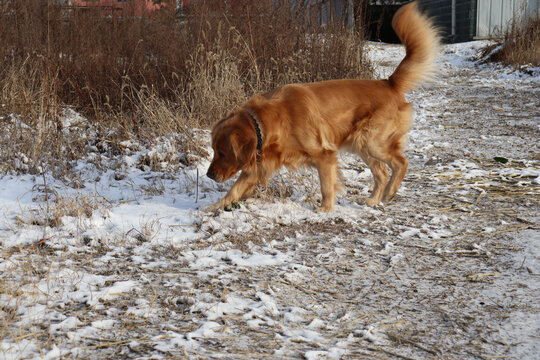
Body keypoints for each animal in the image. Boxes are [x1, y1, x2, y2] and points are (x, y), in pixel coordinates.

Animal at [206, 0, 438, 211]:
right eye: (214, 150)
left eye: (223, 153)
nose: (209, 174)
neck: (271, 121)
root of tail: (388, 82)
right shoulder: (260, 164)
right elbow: (234, 189)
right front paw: (213, 207)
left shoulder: (324, 155)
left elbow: (327, 186)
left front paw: (325, 210)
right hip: (361, 144)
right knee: (382, 172)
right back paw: (373, 200)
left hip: (373, 142)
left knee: (400, 163)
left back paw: (389, 192)